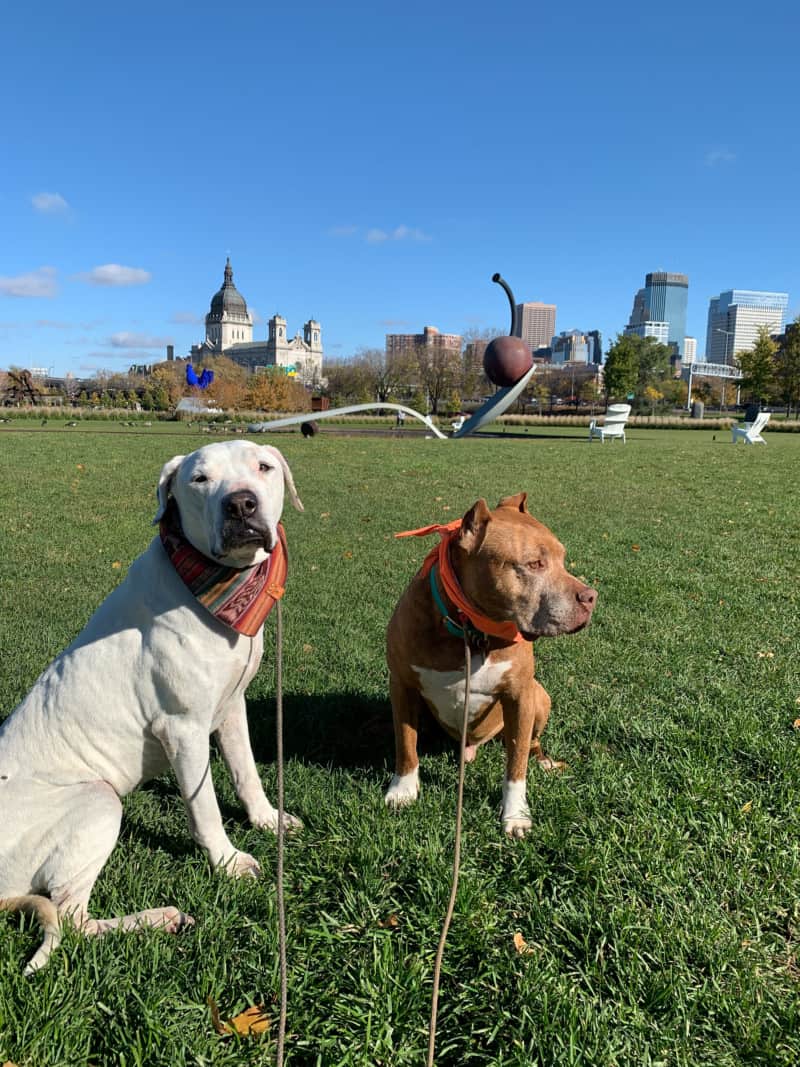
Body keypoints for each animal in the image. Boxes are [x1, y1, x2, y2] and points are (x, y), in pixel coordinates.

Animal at [0, 437, 302, 973]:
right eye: (199, 479)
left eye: (263, 467)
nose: (241, 504)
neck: (218, 588)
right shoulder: (184, 729)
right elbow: (204, 807)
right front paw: (228, 862)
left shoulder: (231, 706)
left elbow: (247, 771)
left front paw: (267, 819)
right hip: (98, 799)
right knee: (72, 920)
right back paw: (161, 918)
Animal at [386, 490, 597, 832]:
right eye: (535, 563)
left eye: (563, 560)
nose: (590, 597)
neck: (471, 628)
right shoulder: (402, 685)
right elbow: (406, 742)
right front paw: (403, 790)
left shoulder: (520, 695)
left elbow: (516, 764)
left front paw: (515, 814)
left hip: (540, 697)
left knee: (530, 744)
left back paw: (544, 760)